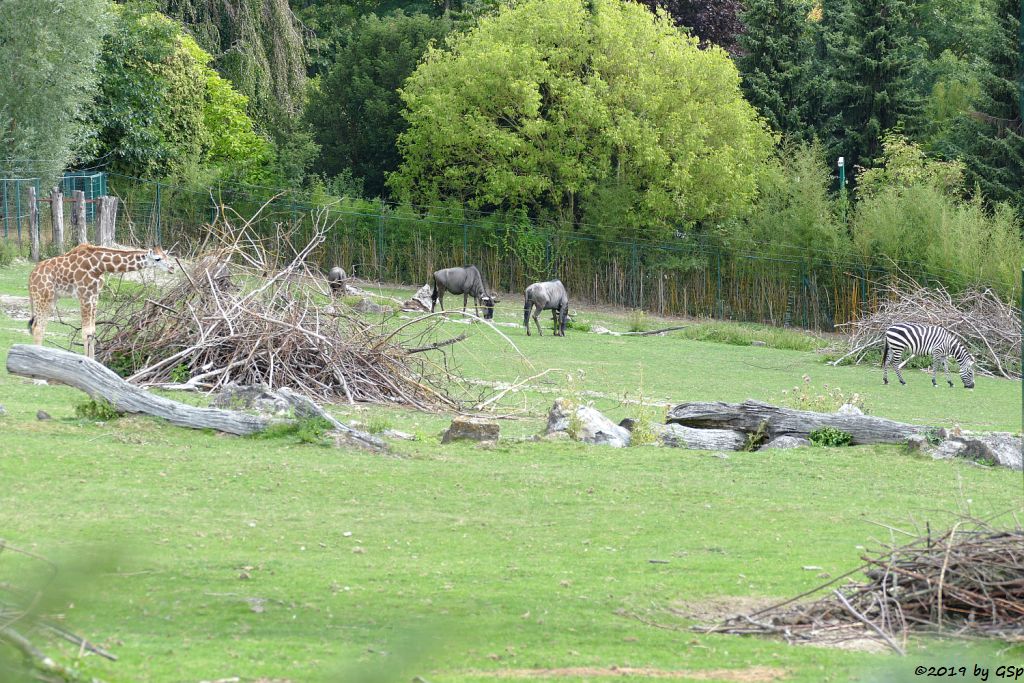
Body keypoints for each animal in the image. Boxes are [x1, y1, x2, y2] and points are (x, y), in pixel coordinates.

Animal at [28, 242, 173, 358]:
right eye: (158, 259)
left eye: (167, 256)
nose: (172, 268)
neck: (99, 266)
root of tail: (31, 278)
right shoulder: (84, 295)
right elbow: (85, 332)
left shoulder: (94, 295)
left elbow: (92, 332)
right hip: (42, 296)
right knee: (38, 328)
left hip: (52, 299)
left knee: (40, 326)